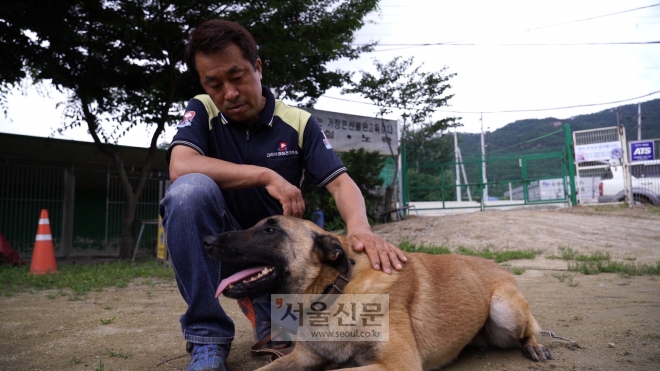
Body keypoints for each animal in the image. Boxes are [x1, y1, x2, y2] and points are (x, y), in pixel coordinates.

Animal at [202, 217, 552, 370]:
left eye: (270, 230)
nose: (206, 241)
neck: (334, 294)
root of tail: (497, 266)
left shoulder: (397, 365)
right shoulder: (303, 357)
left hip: (504, 309)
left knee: (529, 330)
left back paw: (535, 345)